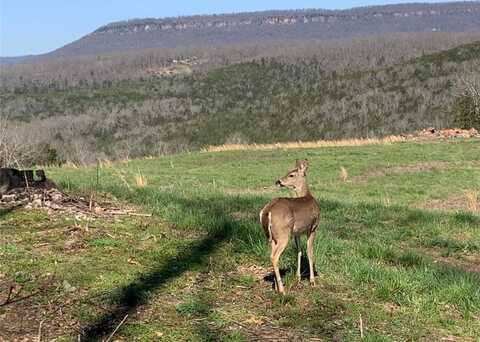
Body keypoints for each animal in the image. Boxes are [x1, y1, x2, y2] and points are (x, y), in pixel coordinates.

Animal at [258, 160, 318, 294]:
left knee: (272, 255)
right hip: (283, 233)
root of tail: (267, 210)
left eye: (291, 174)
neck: (308, 196)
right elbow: (310, 252)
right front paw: (312, 281)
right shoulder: (313, 227)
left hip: (272, 237)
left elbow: (299, 251)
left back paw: (276, 286)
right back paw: (282, 290)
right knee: (274, 257)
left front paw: (298, 278)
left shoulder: (297, 232)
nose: (278, 181)